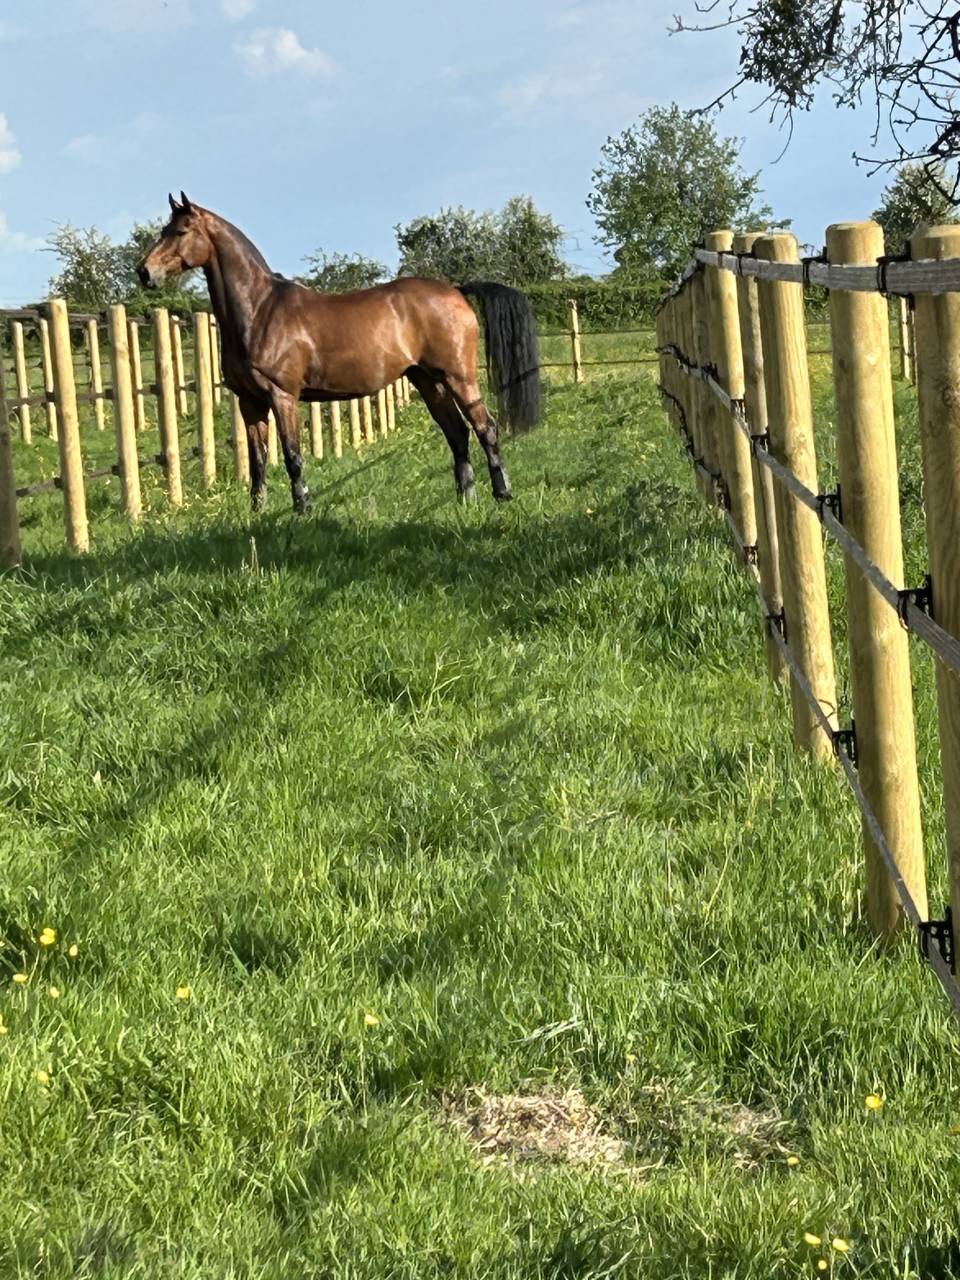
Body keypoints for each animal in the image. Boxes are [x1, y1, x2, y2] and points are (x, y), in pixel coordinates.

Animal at [137, 194, 542, 513]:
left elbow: (292, 455)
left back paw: (502, 493)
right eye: (163, 230)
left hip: (459, 376)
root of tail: (455, 290)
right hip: (428, 381)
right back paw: (465, 498)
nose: (144, 272)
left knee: (485, 427)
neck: (260, 309)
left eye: (181, 231)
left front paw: (302, 509)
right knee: (457, 434)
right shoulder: (250, 402)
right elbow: (258, 461)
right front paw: (258, 513)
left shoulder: (282, 396)